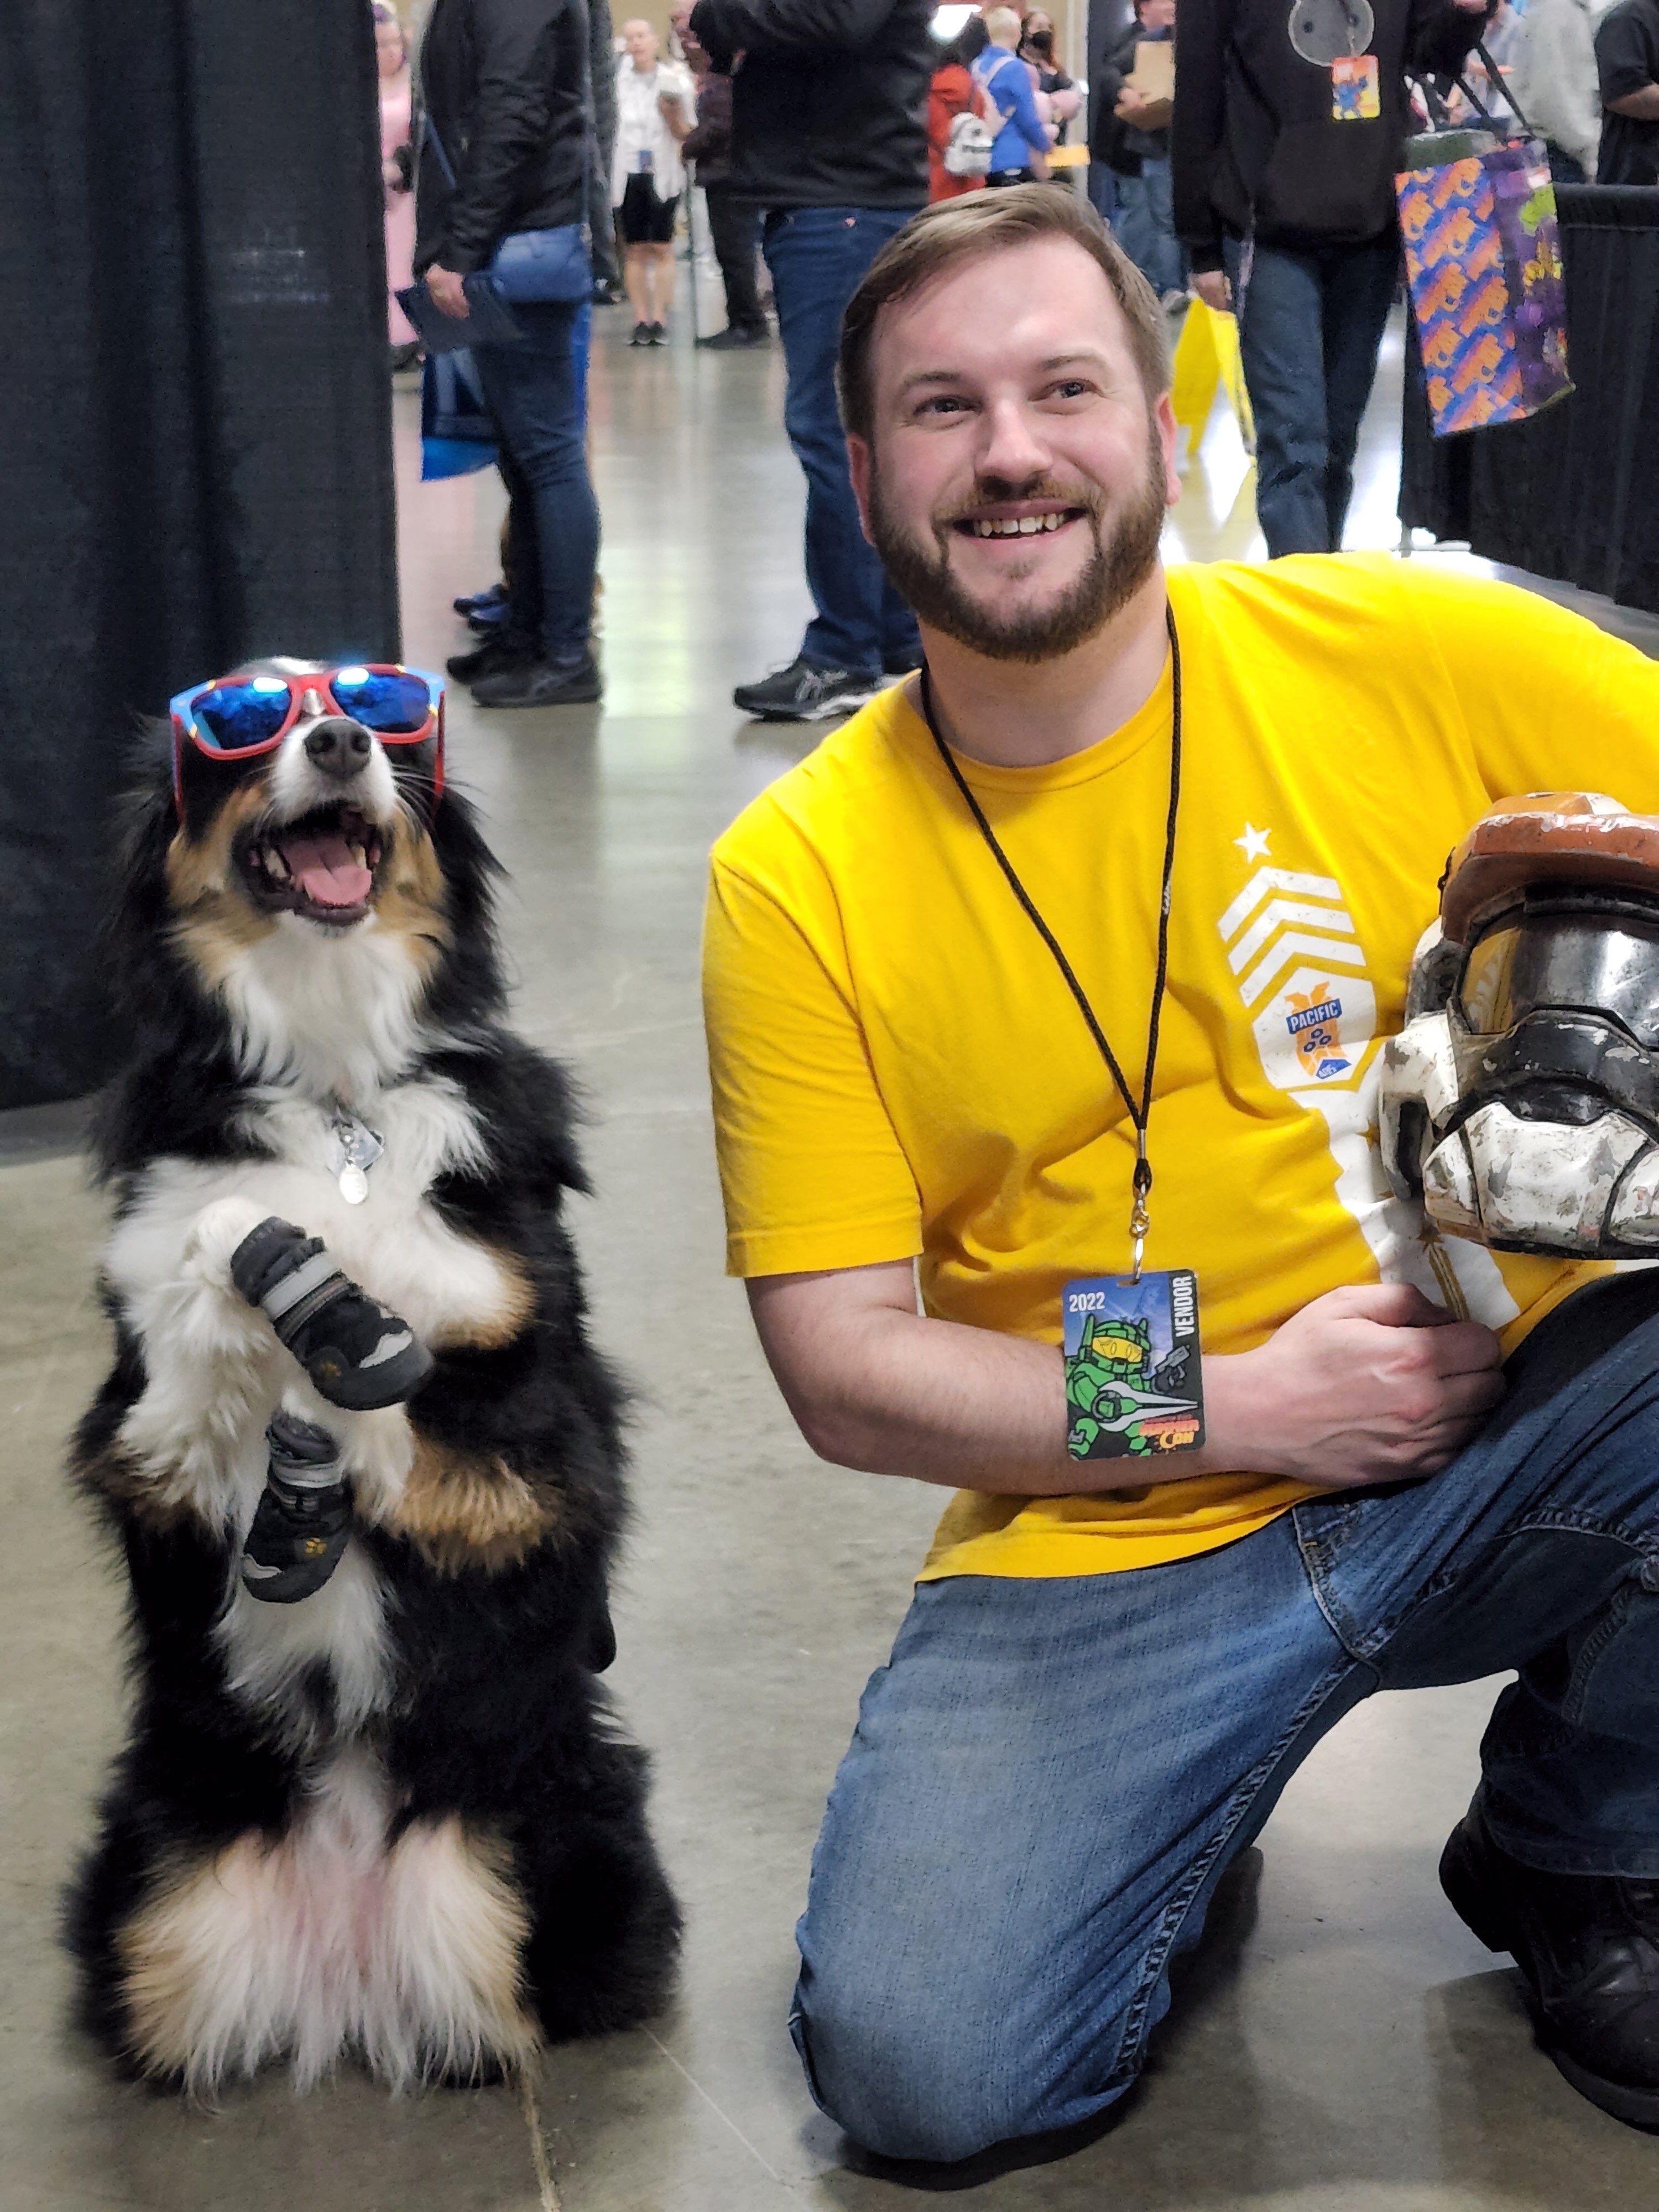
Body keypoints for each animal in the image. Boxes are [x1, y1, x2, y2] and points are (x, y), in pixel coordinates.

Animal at [67, 660, 679, 2096]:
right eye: (242, 724)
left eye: (380, 702)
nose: (342, 740)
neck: (332, 1065)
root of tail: (346, 1974)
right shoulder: (137, 1445)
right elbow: (197, 1284)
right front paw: (279, 1291)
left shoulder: (546, 1452)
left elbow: (417, 1368)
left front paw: (342, 1321)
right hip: (149, 1905)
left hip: (569, 1865)